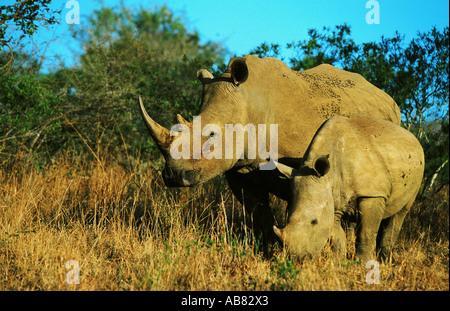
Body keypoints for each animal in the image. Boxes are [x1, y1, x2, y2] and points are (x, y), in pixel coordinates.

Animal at [274, 114, 426, 264]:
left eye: (314, 221)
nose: (296, 260)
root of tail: (413, 137)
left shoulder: (371, 194)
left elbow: (366, 233)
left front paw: (363, 264)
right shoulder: (332, 198)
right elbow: (336, 237)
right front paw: (338, 264)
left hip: (417, 168)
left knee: (401, 212)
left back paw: (385, 260)